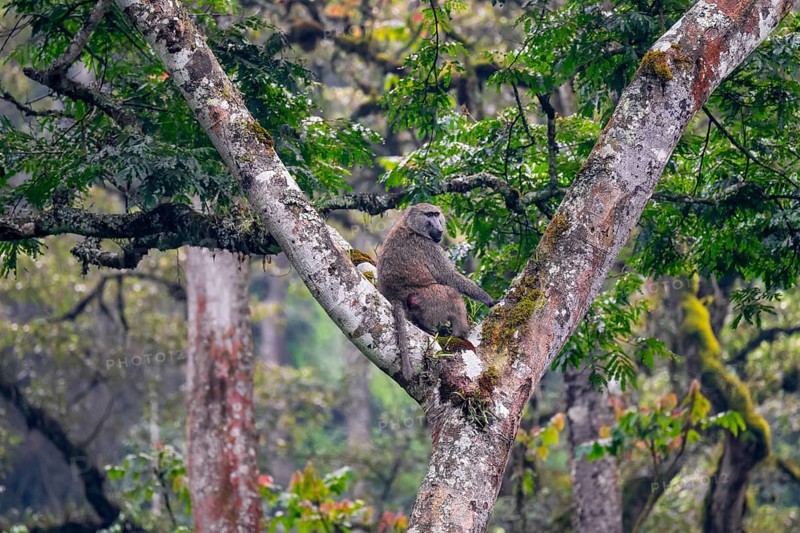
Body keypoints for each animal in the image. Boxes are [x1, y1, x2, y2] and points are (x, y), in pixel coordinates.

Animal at [377, 203, 497, 380]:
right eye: (429, 215)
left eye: (436, 214)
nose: (439, 229)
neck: (409, 225)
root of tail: (395, 297)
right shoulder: (428, 247)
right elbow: (449, 277)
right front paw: (489, 300)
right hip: (428, 298)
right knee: (451, 294)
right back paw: (460, 334)